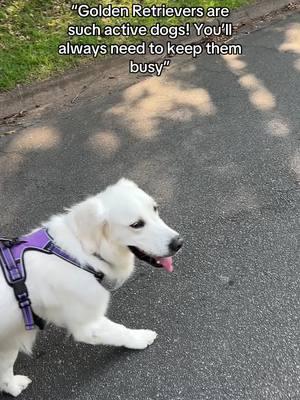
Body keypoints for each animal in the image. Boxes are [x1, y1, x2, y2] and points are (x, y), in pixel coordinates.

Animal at [0, 179, 183, 396]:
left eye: (155, 208)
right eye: (136, 225)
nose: (179, 243)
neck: (81, 253)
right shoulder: (88, 325)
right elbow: (121, 331)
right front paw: (141, 338)